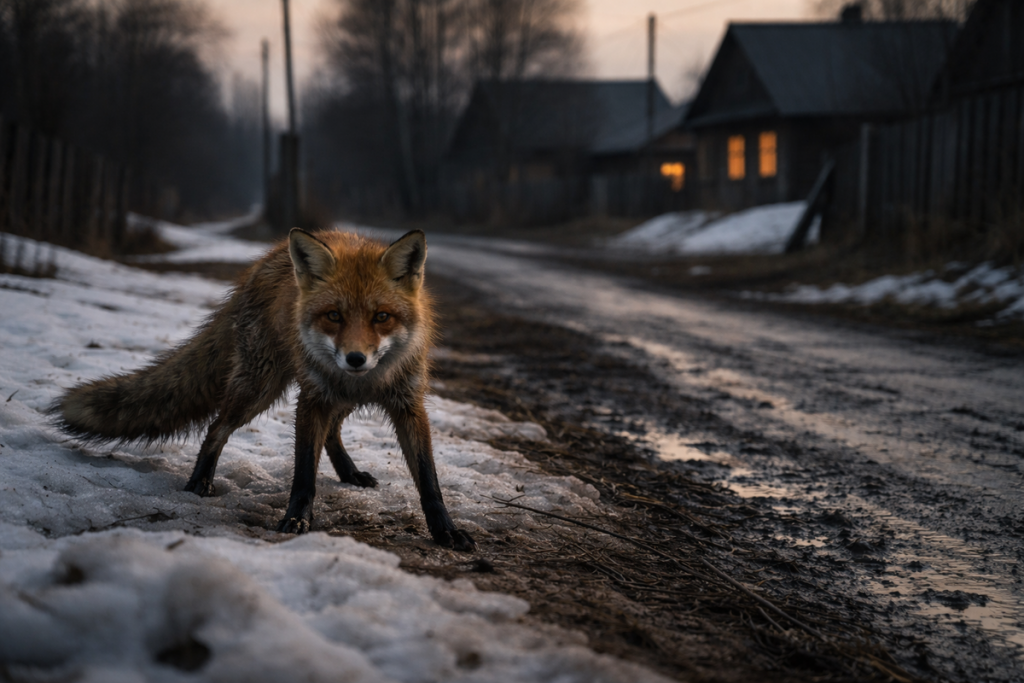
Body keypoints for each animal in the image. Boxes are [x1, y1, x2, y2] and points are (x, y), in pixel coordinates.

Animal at [53, 228, 475, 551]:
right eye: (334, 315)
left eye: (382, 317)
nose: (355, 359)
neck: (366, 380)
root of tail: (262, 264)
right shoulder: (312, 400)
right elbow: (303, 473)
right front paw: (296, 520)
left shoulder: (408, 404)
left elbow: (429, 479)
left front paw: (446, 531)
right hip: (260, 388)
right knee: (216, 427)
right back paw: (199, 481)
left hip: (327, 397)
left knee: (332, 433)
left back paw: (349, 473)